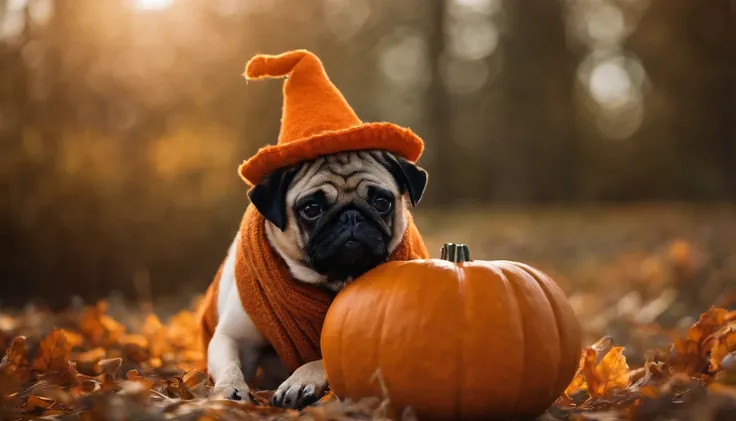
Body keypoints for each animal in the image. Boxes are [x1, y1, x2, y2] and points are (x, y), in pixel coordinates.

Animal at [206, 148, 426, 406]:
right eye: (311, 209)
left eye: (381, 202)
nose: (351, 215)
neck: (333, 280)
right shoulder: (233, 337)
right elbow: (230, 366)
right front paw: (229, 389)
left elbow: (323, 358)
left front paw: (300, 380)